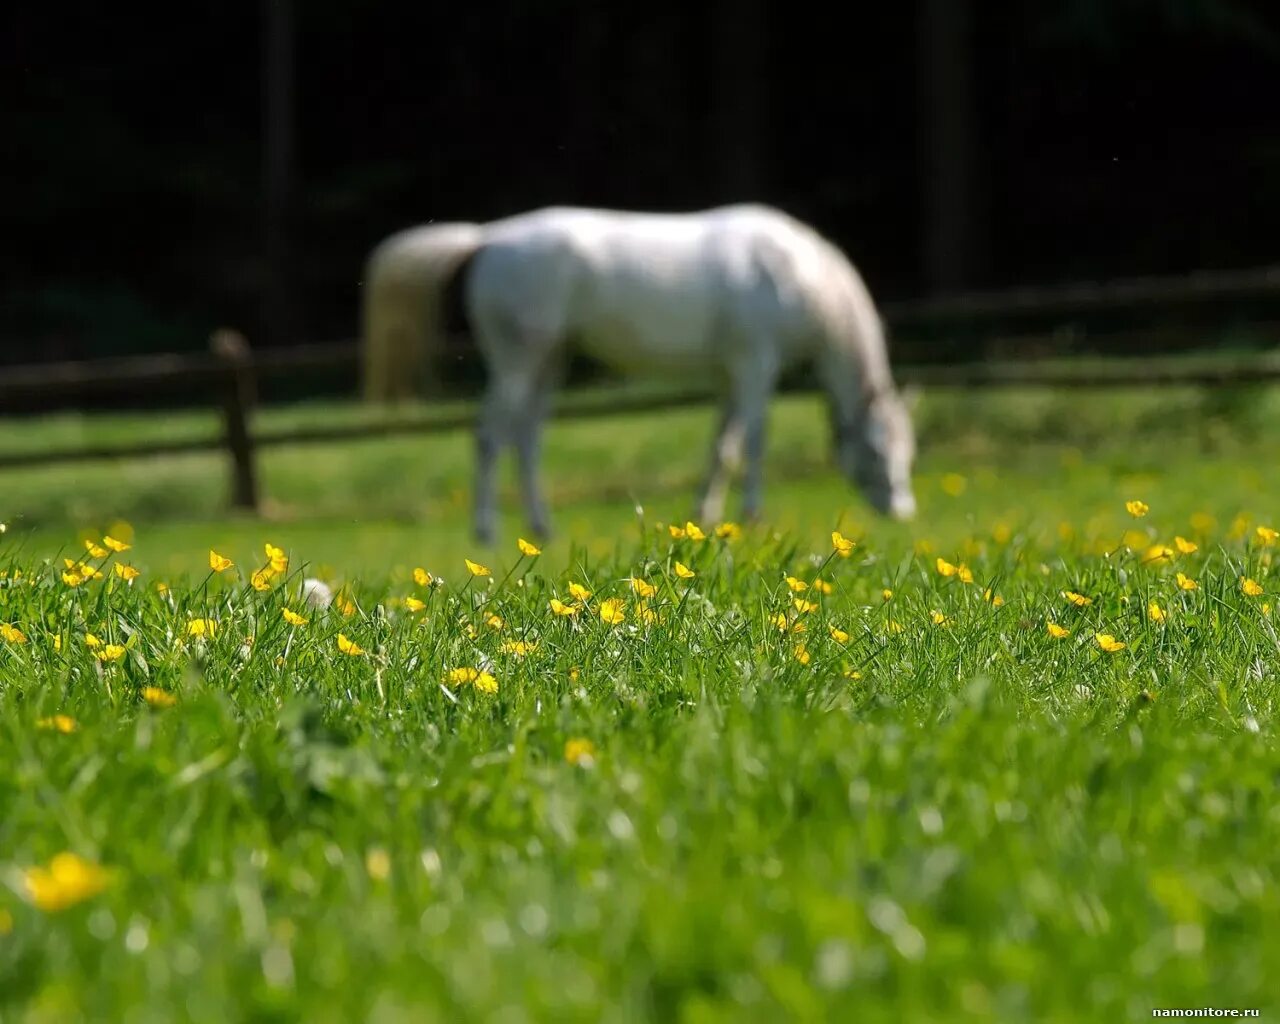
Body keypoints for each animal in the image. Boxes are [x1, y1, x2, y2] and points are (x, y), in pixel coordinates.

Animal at [366, 204, 916, 547]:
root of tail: (488, 239)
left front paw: (706, 514)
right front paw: (753, 513)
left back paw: (542, 527)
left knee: (526, 439)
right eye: (875, 451)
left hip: (550, 359)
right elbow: (755, 441)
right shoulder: (756, 363)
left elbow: (722, 447)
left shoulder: (729, 376)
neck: (797, 274)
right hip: (517, 359)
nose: (902, 510)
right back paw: (486, 531)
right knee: (490, 436)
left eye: (907, 452)